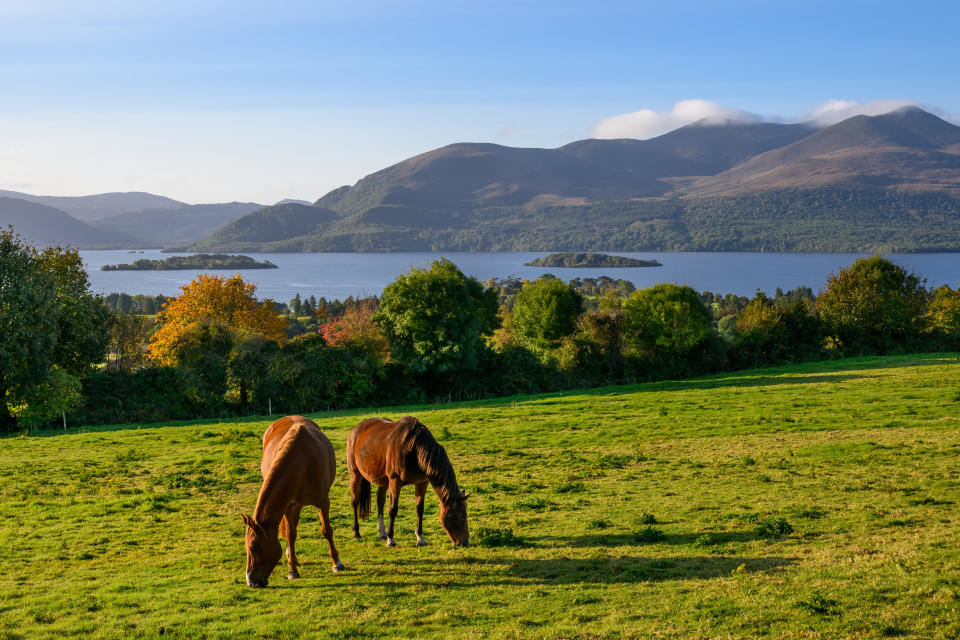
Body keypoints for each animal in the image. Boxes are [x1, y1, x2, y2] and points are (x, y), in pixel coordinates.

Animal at [240, 416, 344, 592]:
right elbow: (290, 535)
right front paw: (292, 570)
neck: (302, 462)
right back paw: (291, 556)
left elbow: (327, 531)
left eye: (253, 547)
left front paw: (337, 563)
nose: (251, 581)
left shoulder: (323, 502)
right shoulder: (288, 506)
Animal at [346, 418, 470, 548]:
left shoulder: (422, 482)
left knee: (380, 501)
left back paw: (382, 533)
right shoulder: (395, 482)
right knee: (354, 501)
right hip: (355, 475)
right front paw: (391, 539)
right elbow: (393, 509)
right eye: (463, 517)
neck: (414, 448)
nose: (465, 541)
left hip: (383, 480)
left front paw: (420, 538)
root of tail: (357, 428)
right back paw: (356, 533)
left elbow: (420, 509)